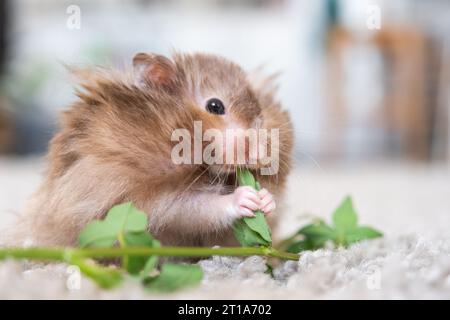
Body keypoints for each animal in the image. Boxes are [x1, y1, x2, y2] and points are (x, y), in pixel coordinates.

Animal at [7, 52, 296, 248]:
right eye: (215, 106)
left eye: (261, 110)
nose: (259, 154)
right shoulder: (144, 200)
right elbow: (197, 208)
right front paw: (246, 197)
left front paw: (265, 200)